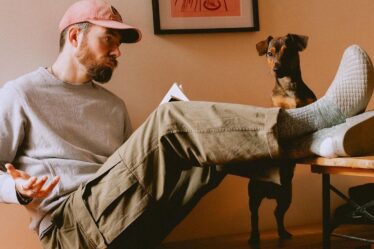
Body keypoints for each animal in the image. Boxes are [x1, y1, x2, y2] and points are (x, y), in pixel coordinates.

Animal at [247, 33, 318, 243]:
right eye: (269, 53)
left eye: (288, 52)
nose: (276, 69)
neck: (289, 86)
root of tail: (271, 192)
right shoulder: (279, 107)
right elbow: (282, 109)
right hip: (254, 196)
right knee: (255, 217)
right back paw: (254, 237)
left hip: (286, 196)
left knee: (278, 214)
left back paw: (283, 233)